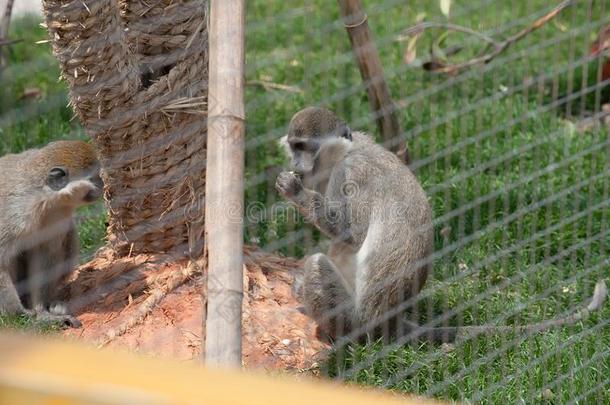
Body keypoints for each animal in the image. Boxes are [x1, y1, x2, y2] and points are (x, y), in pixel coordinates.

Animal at [0, 140, 102, 326]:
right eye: (95, 177)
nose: (103, 184)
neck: (44, 199)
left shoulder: (59, 213)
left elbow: (45, 254)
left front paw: (41, 311)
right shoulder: (12, 214)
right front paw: (20, 314)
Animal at [274, 105, 604, 342]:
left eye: (305, 147)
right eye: (294, 147)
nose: (296, 164)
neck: (347, 151)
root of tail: (389, 321)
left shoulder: (352, 173)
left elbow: (350, 233)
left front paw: (296, 191)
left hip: (353, 319)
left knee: (320, 264)